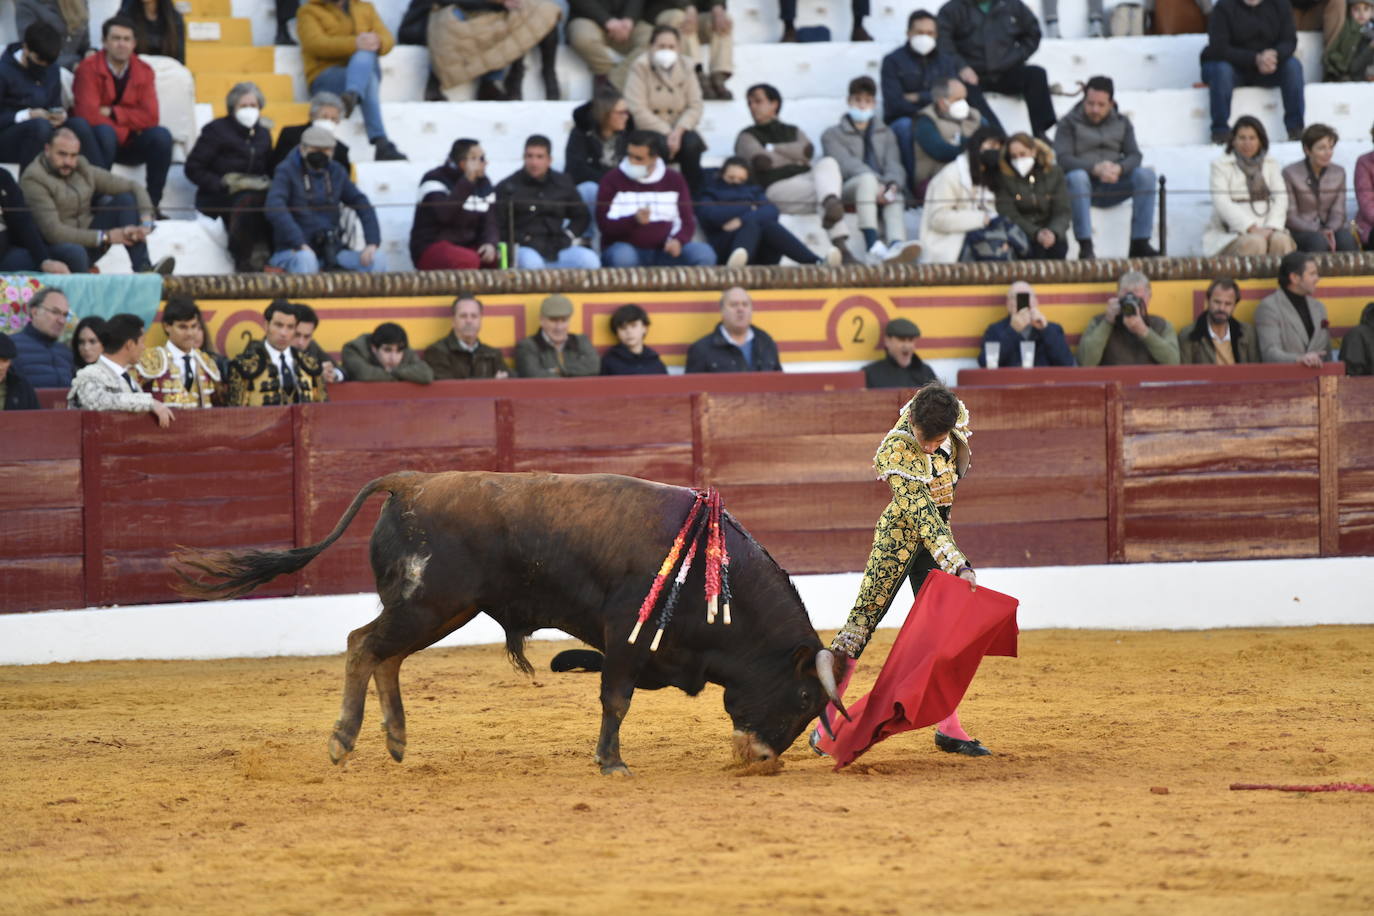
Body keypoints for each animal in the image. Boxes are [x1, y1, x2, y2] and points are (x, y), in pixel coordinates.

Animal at [174, 472, 846, 774]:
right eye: (804, 697)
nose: (765, 759)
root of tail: (410, 483)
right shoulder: (625, 636)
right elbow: (617, 698)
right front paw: (611, 763)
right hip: (428, 603)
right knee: (363, 644)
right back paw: (344, 739)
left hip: (440, 610)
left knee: (386, 655)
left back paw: (396, 740)